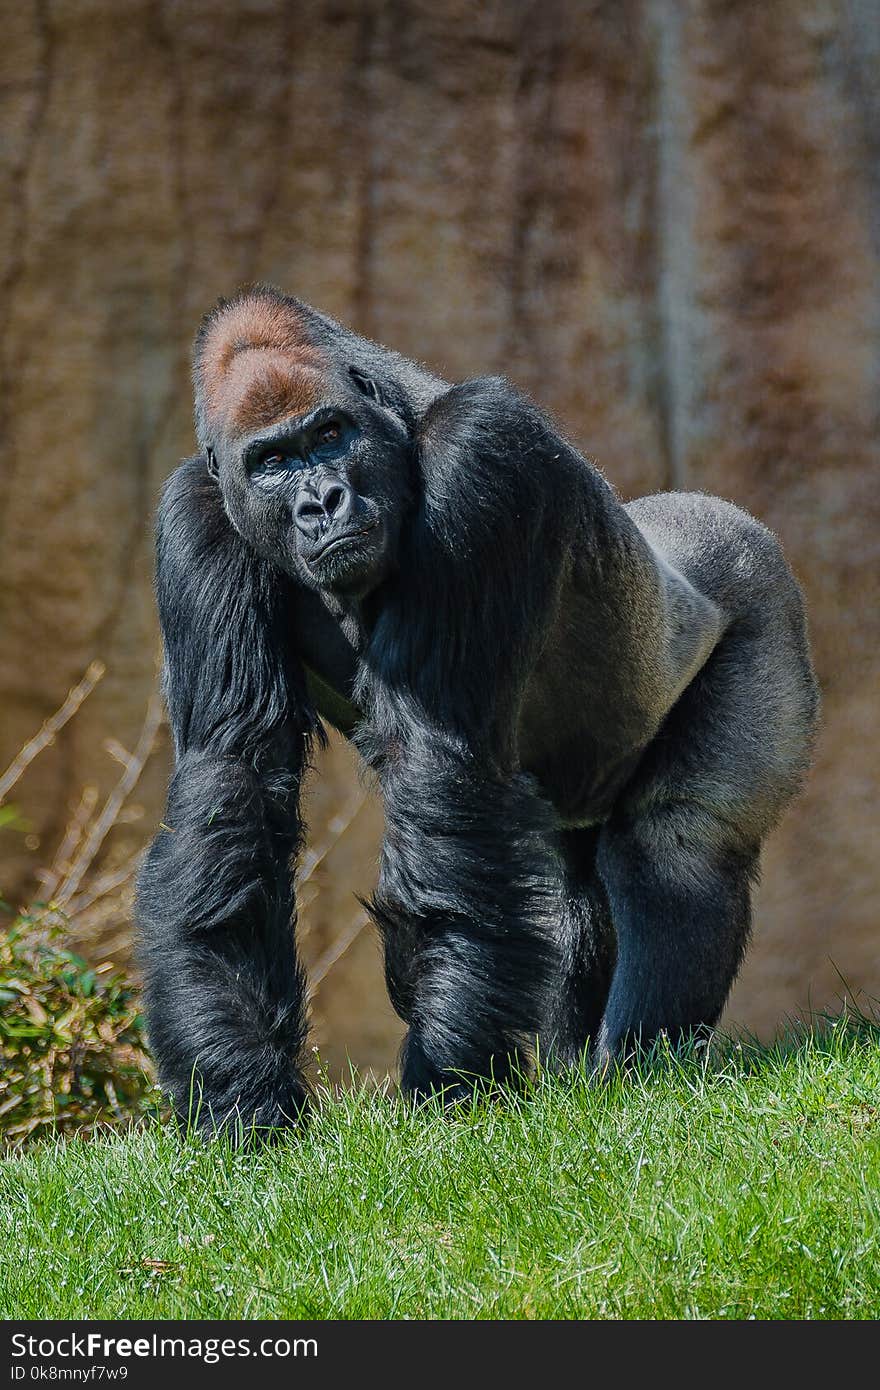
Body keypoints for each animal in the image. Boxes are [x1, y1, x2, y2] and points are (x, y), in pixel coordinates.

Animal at [135, 284, 817, 1139]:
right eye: (273, 463)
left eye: (329, 435)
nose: (322, 502)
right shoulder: (194, 517)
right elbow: (234, 783)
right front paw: (239, 1088)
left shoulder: (481, 451)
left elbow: (437, 760)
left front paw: (451, 1077)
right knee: (570, 892)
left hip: (759, 592)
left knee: (678, 845)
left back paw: (640, 1067)